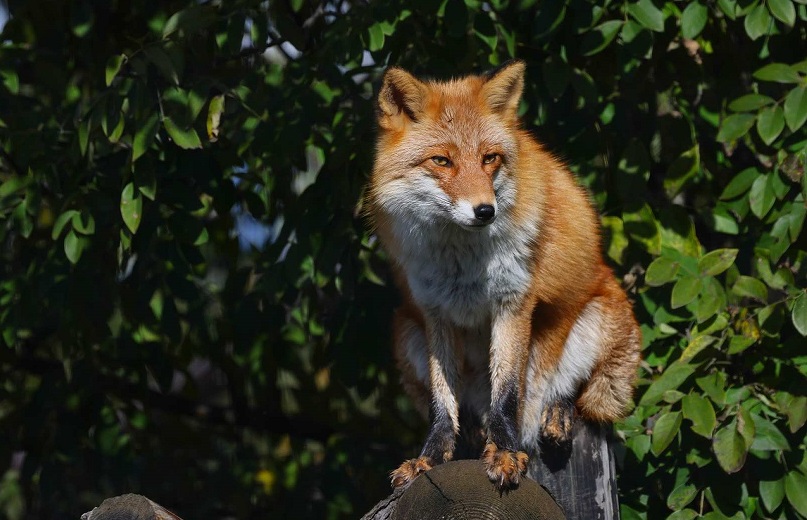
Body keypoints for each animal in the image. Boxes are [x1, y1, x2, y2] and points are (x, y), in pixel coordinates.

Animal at [368, 62, 644, 492]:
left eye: (490, 158)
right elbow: (441, 404)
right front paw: (431, 458)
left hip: (598, 325)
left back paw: (555, 414)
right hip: (404, 331)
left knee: (574, 393)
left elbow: (507, 392)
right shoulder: (434, 313)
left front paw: (505, 454)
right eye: (441, 161)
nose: (485, 210)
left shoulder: (513, 302)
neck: (461, 263)